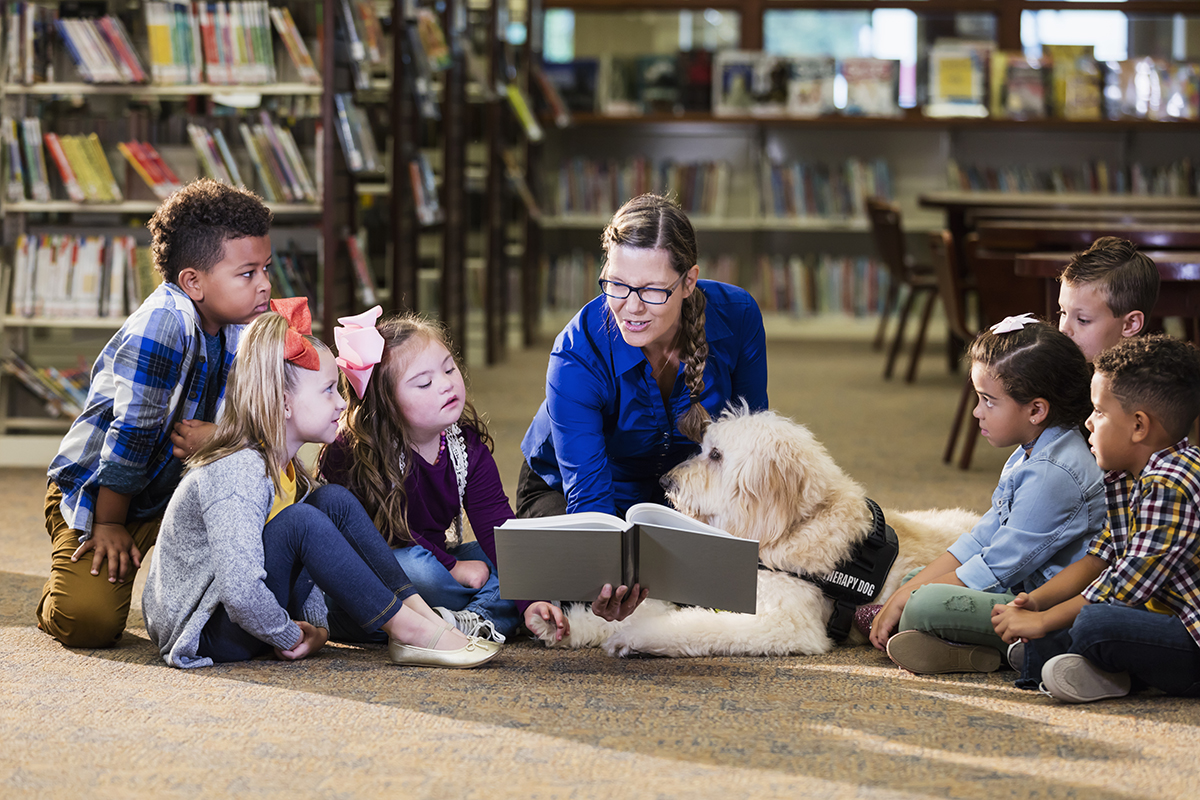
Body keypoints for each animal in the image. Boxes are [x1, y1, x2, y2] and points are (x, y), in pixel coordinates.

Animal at [530, 407, 979, 657]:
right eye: (704, 447)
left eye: (715, 455)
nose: (666, 481)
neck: (794, 528)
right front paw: (563, 625)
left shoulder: (784, 622)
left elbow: (694, 625)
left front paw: (633, 635)